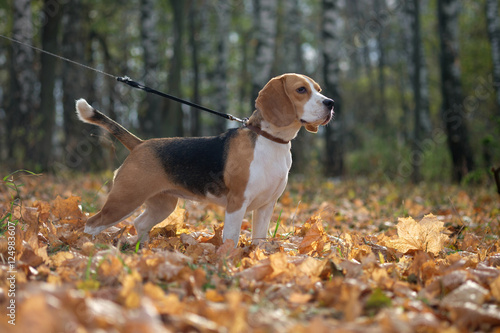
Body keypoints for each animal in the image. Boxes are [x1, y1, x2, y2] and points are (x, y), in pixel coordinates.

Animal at [76, 73, 334, 244]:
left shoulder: (266, 205)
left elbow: (259, 239)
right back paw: (88, 249)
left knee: (139, 223)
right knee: (92, 223)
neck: (270, 141)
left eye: (319, 89)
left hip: (163, 204)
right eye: (301, 90)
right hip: (125, 200)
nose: (331, 103)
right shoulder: (237, 203)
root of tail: (140, 144)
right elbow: (231, 239)